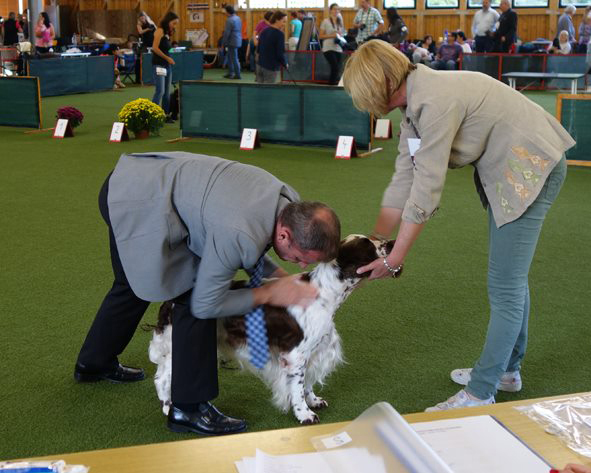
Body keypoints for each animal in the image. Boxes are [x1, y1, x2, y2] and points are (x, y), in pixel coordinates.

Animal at [150, 234, 396, 422]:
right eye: (371, 247)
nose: (393, 243)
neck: (324, 293)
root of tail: (171, 301)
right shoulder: (295, 354)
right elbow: (297, 387)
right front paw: (304, 414)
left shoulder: (313, 350)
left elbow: (306, 384)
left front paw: (314, 401)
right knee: (162, 378)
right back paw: (168, 407)